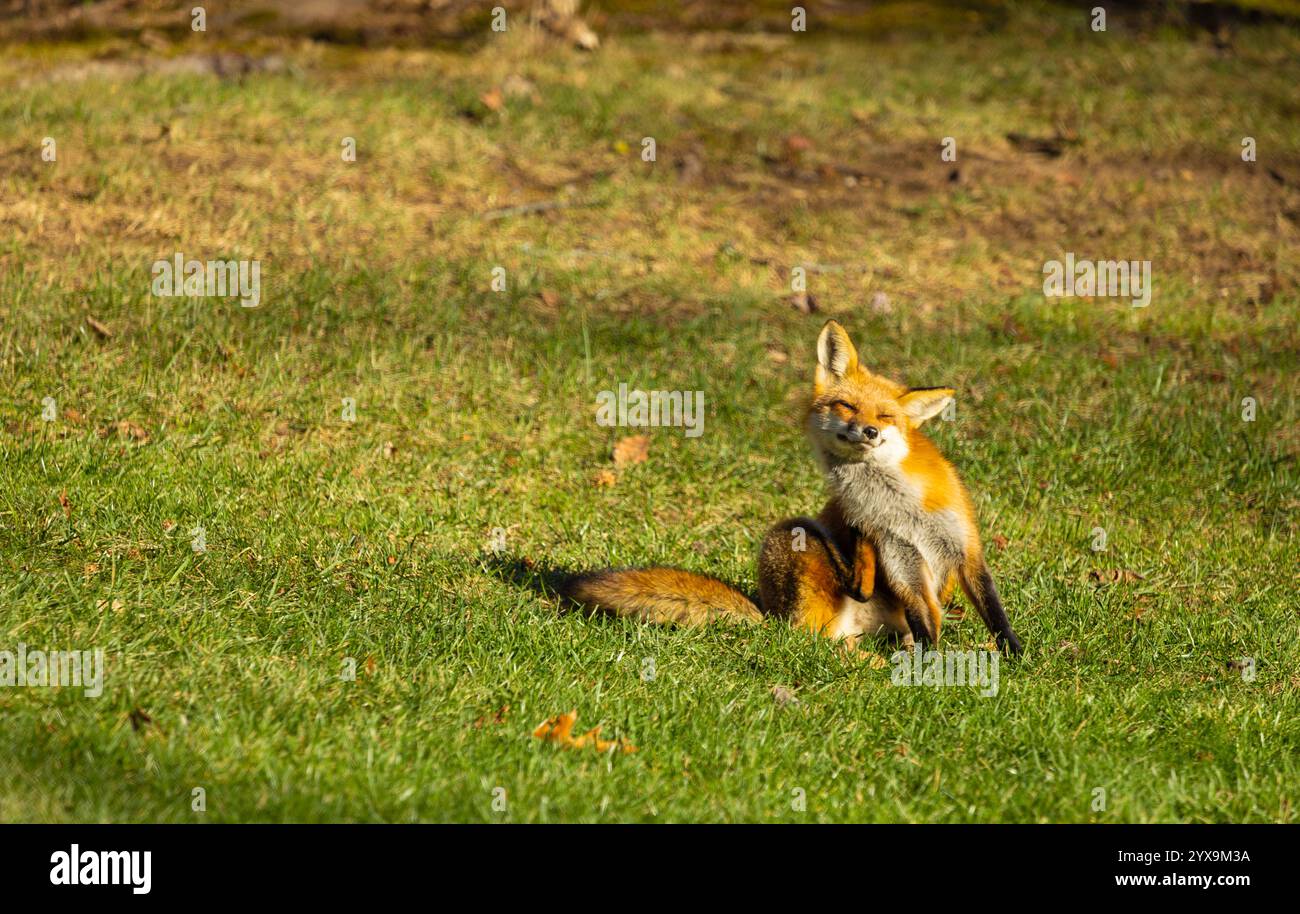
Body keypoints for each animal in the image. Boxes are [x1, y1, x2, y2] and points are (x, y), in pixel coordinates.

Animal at [560, 319, 1023, 657]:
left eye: (886, 416)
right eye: (847, 406)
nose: (870, 431)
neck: (896, 504)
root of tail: (770, 618)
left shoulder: (961, 544)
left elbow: (990, 610)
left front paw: (1014, 655)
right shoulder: (900, 554)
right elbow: (923, 616)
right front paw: (933, 663)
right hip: (794, 535)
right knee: (820, 634)